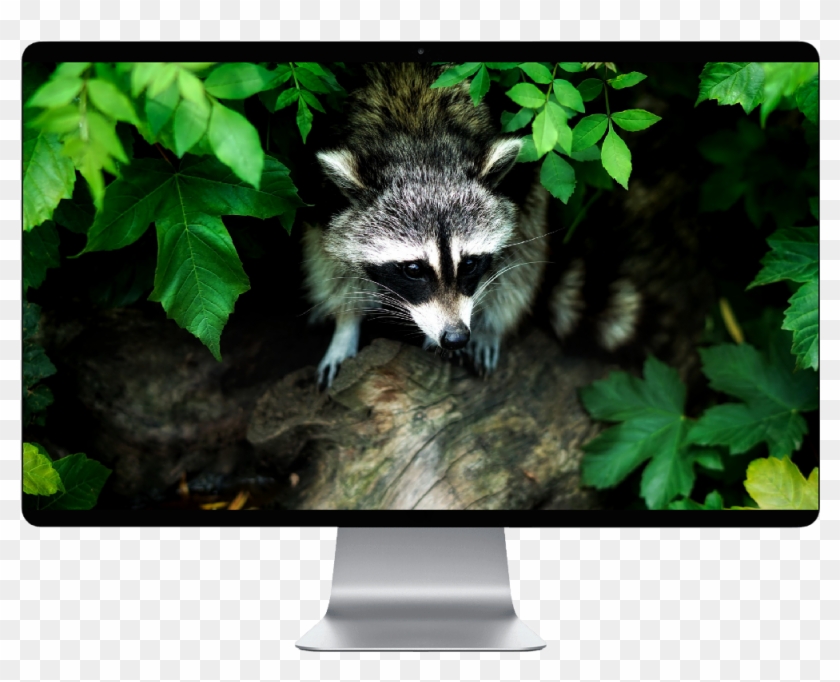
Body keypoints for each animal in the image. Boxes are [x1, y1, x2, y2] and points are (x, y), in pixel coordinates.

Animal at [303, 63, 550, 388]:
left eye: (469, 264)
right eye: (413, 269)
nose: (456, 337)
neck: (419, 135)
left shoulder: (519, 183)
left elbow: (518, 252)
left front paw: (487, 326)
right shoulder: (324, 196)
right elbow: (330, 259)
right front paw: (346, 325)